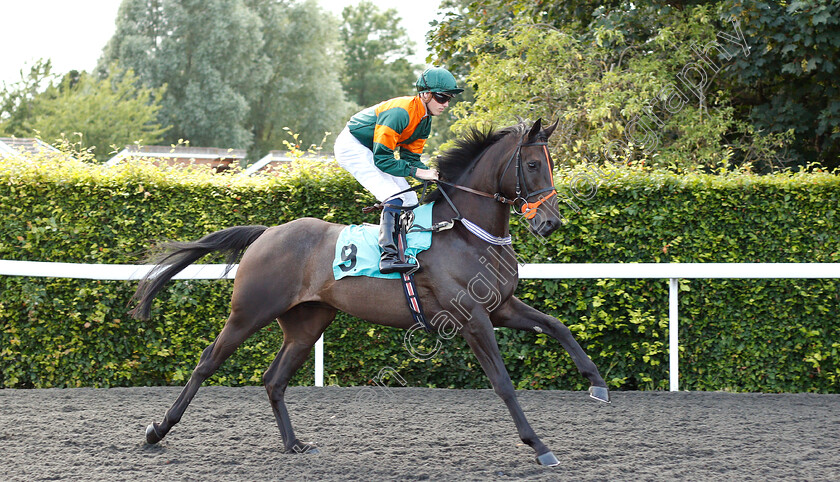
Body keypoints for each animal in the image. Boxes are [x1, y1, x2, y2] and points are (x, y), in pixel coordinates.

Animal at [130, 117, 612, 466]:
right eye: (531, 165)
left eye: (550, 164)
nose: (550, 222)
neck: (466, 232)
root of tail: (268, 233)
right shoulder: (472, 317)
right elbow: (504, 383)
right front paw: (539, 446)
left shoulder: (501, 306)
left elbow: (558, 326)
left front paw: (597, 384)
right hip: (249, 312)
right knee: (207, 363)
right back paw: (157, 431)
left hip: (306, 324)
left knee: (273, 379)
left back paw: (294, 444)